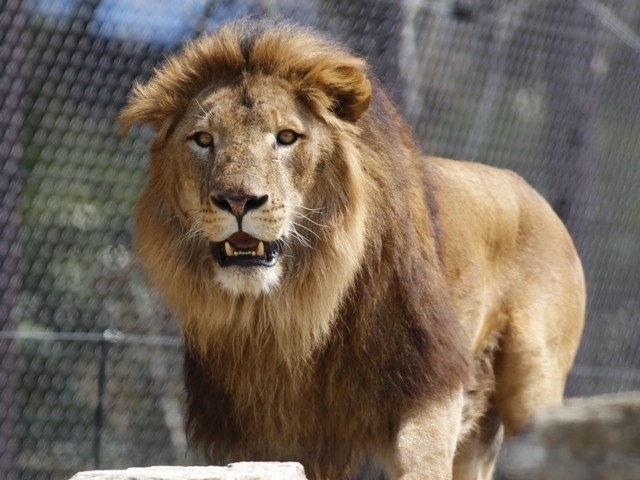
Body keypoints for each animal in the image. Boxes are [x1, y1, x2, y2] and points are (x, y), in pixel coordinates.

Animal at [119, 18, 584, 480]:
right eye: (203, 139)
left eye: (286, 137)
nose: (237, 201)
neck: (288, 310)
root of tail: (530, 190)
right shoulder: (261, 431)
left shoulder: (428, 379)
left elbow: (420, 459)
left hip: (534, 384)